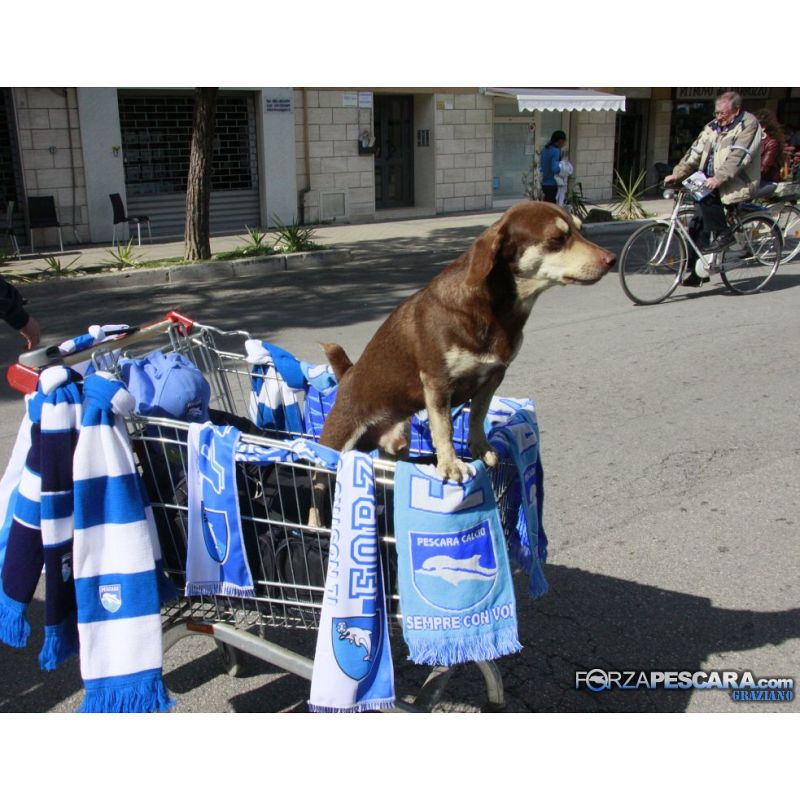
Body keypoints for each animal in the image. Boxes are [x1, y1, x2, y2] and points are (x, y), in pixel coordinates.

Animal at [318, 200, 615, 483]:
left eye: (581, 229)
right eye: (556, 238)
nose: (611, 259)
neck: (497, 311)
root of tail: (347, 373)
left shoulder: (494, 377)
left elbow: (477, 415)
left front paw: (481, 448)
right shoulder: (437, 382)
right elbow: (444, 428)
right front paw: (450, 464)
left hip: (397, 444)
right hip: (333, 444)